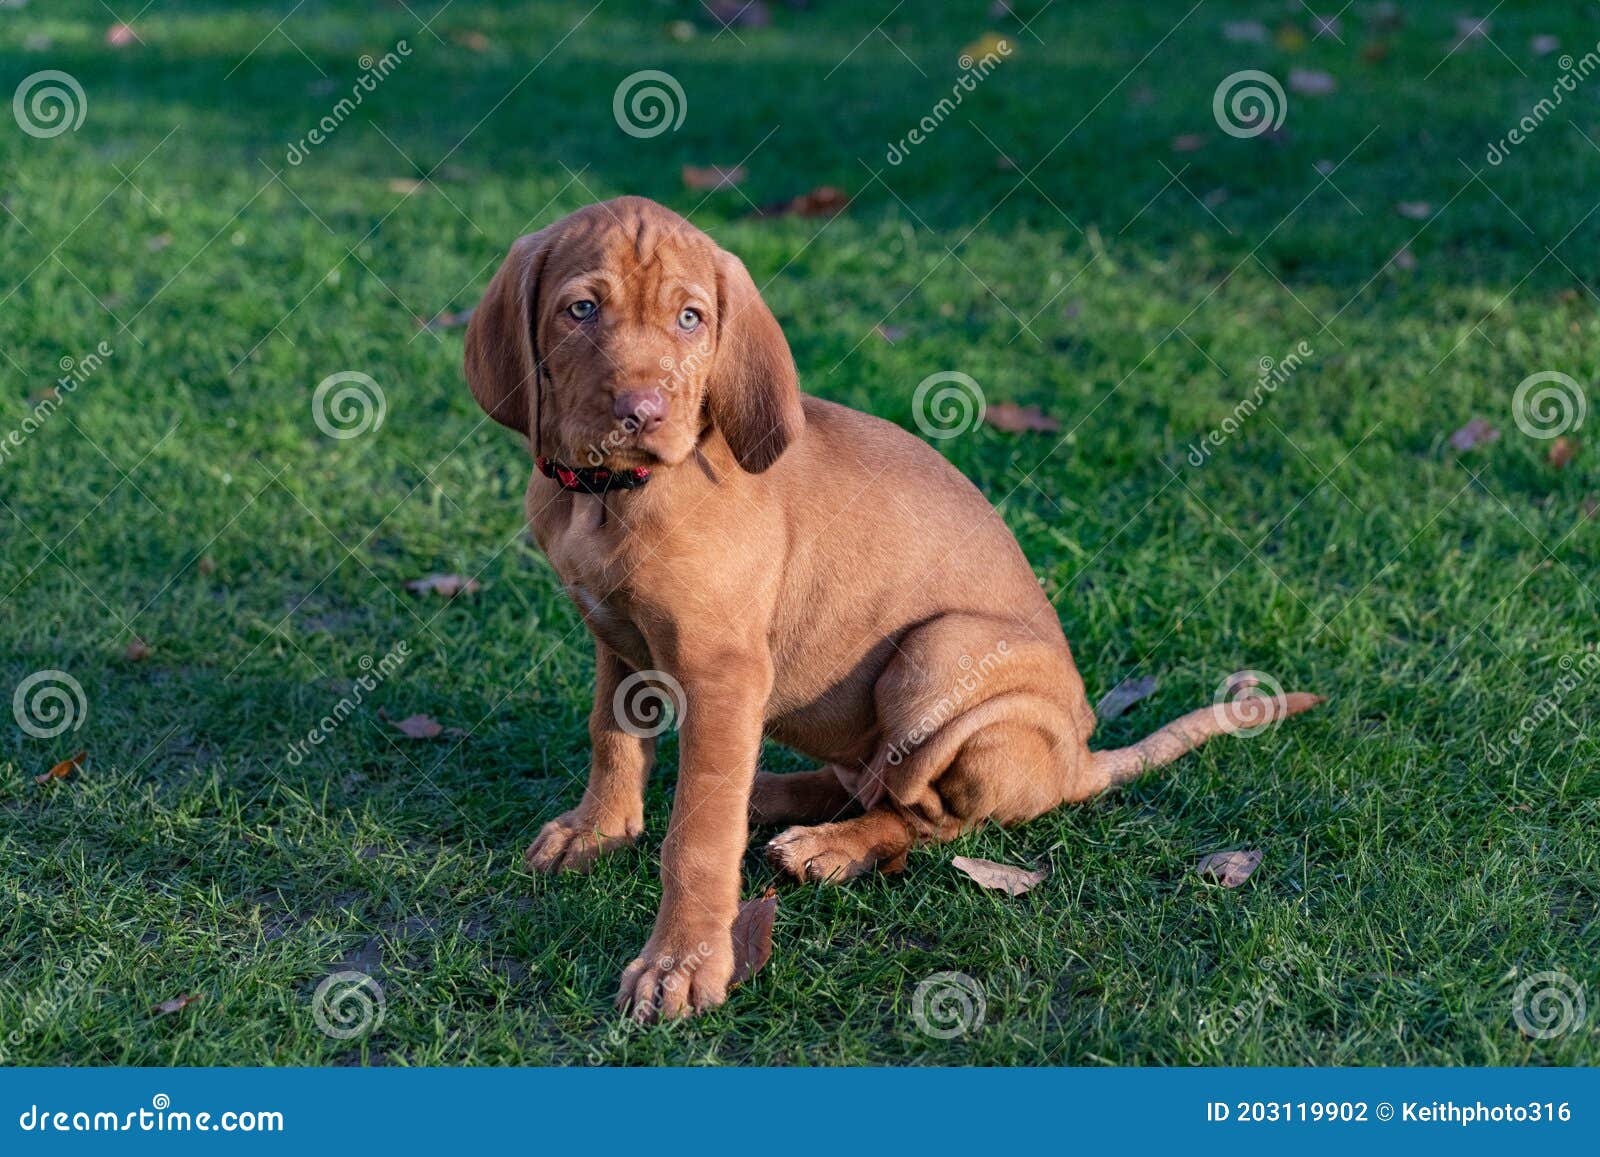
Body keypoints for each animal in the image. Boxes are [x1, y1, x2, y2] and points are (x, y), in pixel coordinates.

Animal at [464, 199, 1324, 1024]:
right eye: (580, 309)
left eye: (691, 318)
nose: (641, 411)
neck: (610, 497)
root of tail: (1079, 759)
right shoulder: (618, 640)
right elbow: (611, 738)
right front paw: (599, 829)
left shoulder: (724, 670)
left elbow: (699, 839)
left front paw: (681, 961)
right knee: (855, 778)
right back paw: (769, 794)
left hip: (939, 656)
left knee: (924, 812)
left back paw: (830, 847)